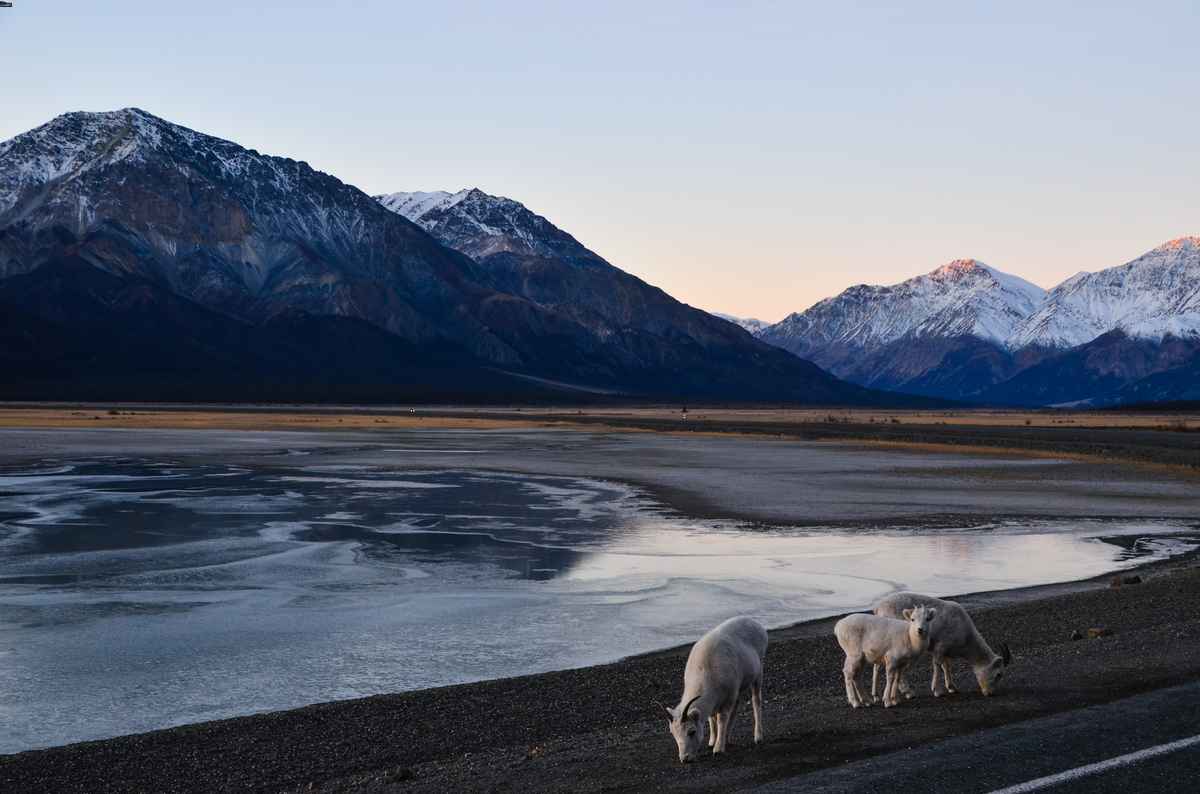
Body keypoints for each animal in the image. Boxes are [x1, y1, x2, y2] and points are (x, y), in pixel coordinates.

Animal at [657, 614, 768, 767]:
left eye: (692, 731)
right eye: (673, 733)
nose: (685, 759)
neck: (706, 671)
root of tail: (757, 625)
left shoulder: (727, 700)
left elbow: (721, 719)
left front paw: (718, 749)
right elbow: (712, 719)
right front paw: (712, 742)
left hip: (758, 674)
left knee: (756, 701)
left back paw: (758, 737)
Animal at [873, 594, 1012, 700]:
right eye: (999, 674)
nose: (990, 693)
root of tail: (878, 609)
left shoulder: (946, 651)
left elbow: (946, 666)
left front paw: (952, 688)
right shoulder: (939, 649)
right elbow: (937, 666)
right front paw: (937, 691)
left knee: (877, 666)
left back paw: (876, 696)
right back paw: (908, 693)